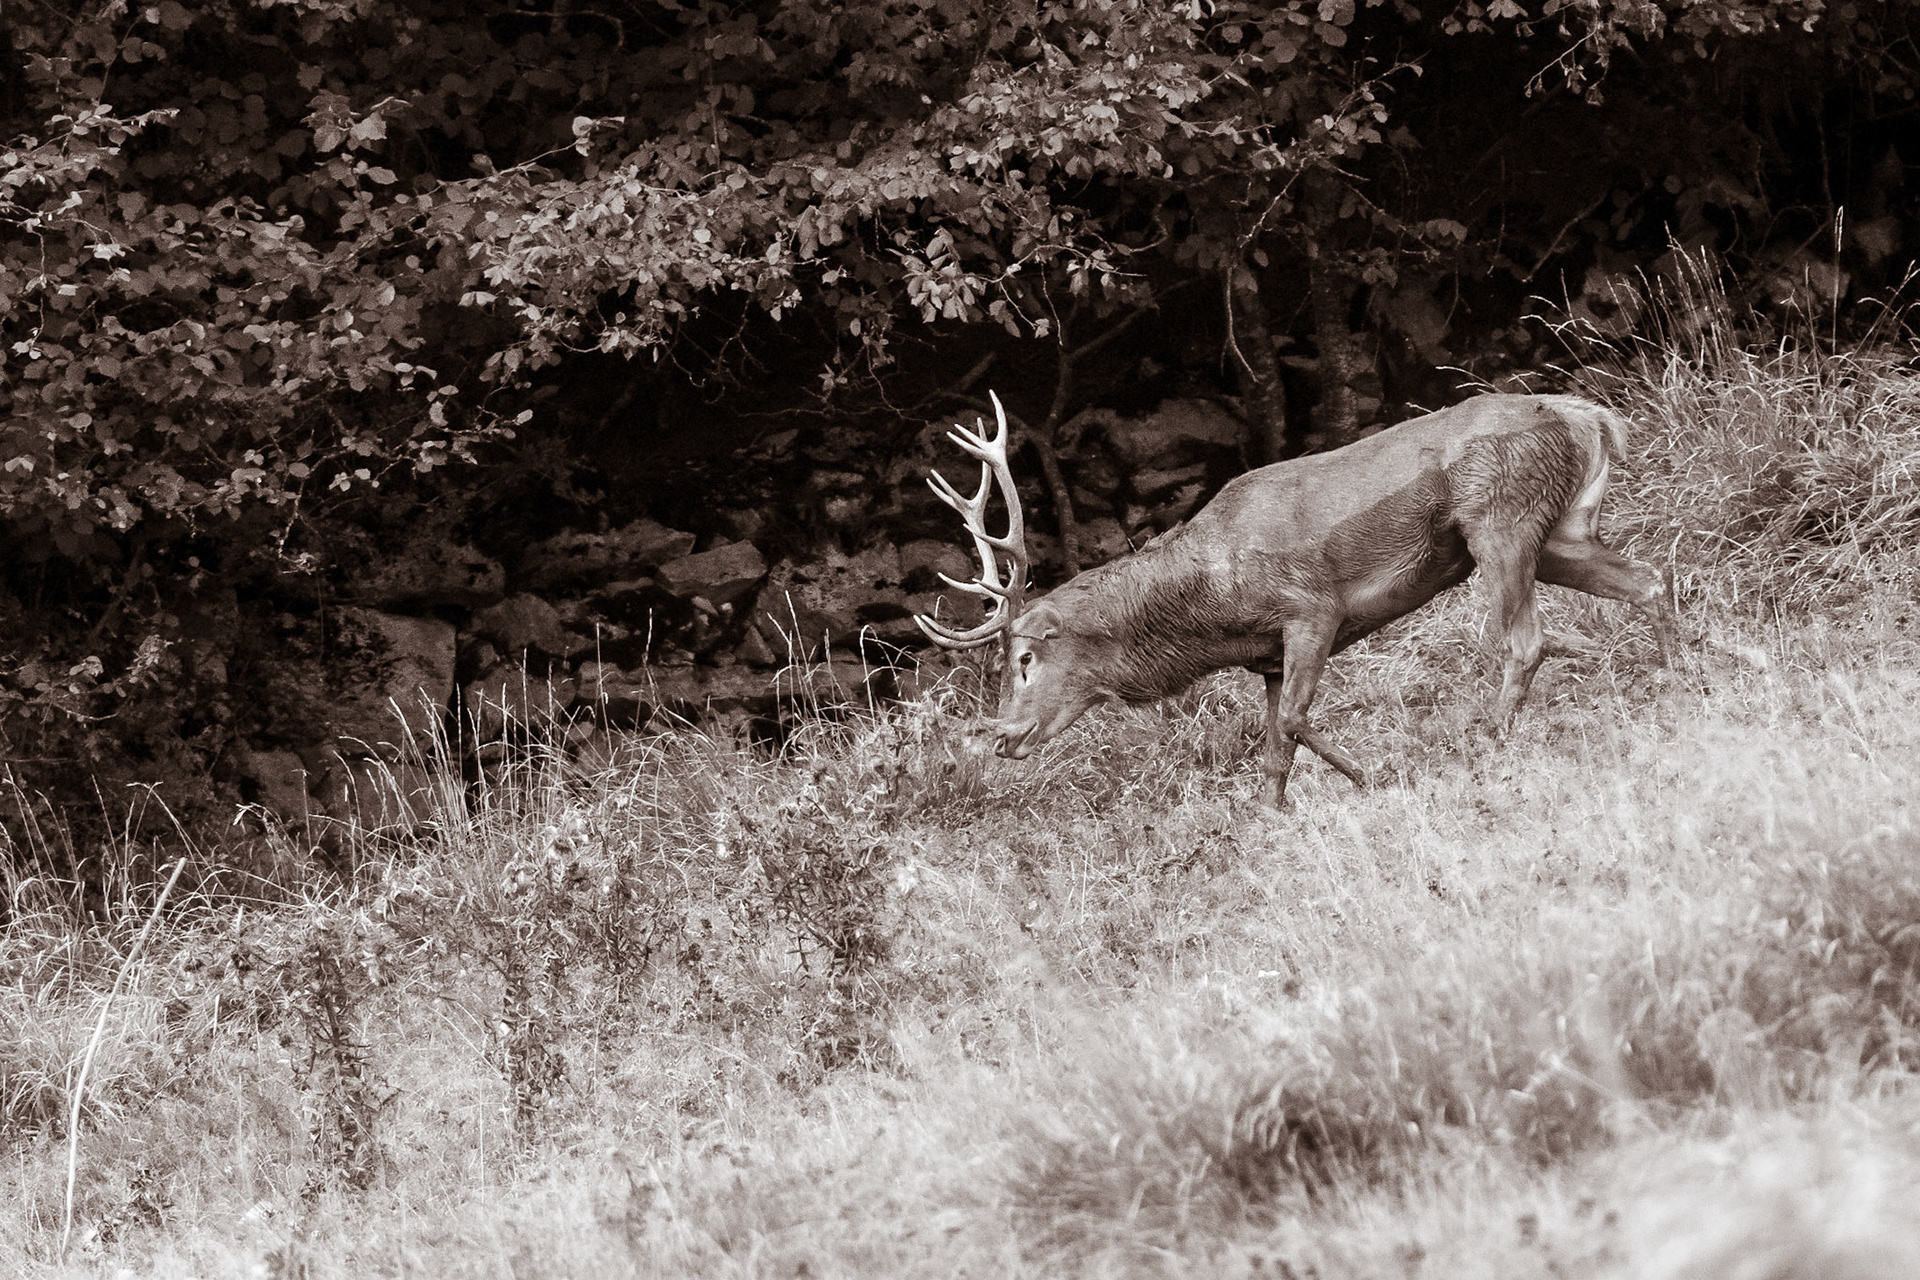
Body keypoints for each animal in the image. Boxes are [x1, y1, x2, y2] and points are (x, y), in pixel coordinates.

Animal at [915, 391, 1677, 807]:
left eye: (1024, 659)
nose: (1005, 736)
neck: (1213, 608)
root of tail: (1588, 417)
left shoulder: (1311, 608)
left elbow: (1294, 722)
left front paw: (1370, 777)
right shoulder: (1268, 658)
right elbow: (1275, 747)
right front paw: (1273, 814)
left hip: (1500, 517)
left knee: (1525, 639)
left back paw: (1488, 739)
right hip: (1561, 529)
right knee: (1648, 580)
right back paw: (1681, 674)